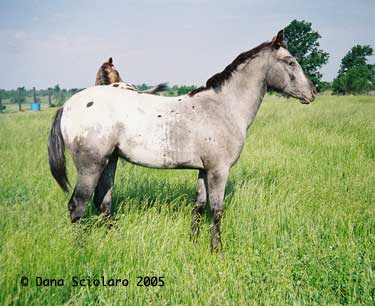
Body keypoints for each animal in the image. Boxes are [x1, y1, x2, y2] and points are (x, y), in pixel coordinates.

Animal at [47, 30, 318, 251]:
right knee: (78, 206)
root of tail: (68, 105)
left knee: (103, 201)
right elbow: (216, 210)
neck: (223, 107)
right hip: (91, 165)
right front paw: (216, 250)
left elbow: (198, 204)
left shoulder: (203, 169)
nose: (313, 92)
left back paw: (116, 242)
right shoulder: (219, 170)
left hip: (110, 161)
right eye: (291, 61)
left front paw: (193, 241)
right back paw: (81, 251)